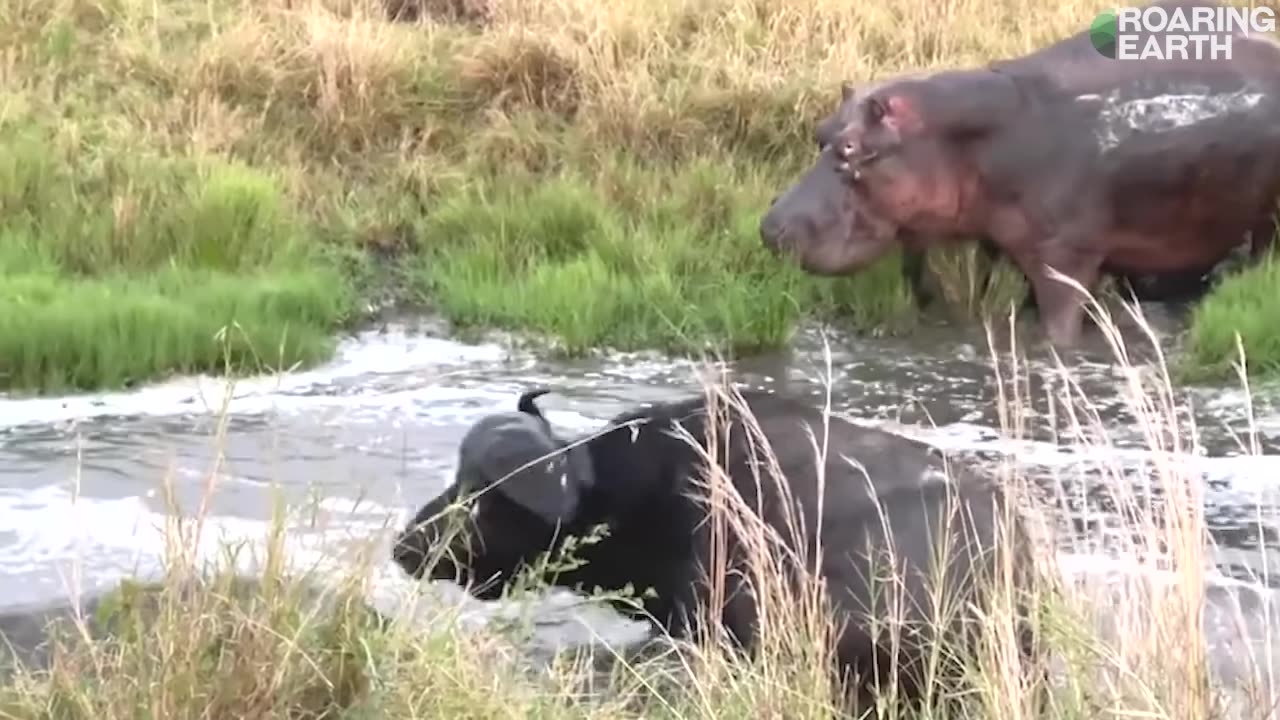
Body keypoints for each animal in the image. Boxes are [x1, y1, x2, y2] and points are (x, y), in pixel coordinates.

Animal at [757, 0, 1280, 345]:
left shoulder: (1065, 256)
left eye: (851, 147)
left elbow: (1060, 327)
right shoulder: (1003, 243)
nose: (769, 226)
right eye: (821, 131)